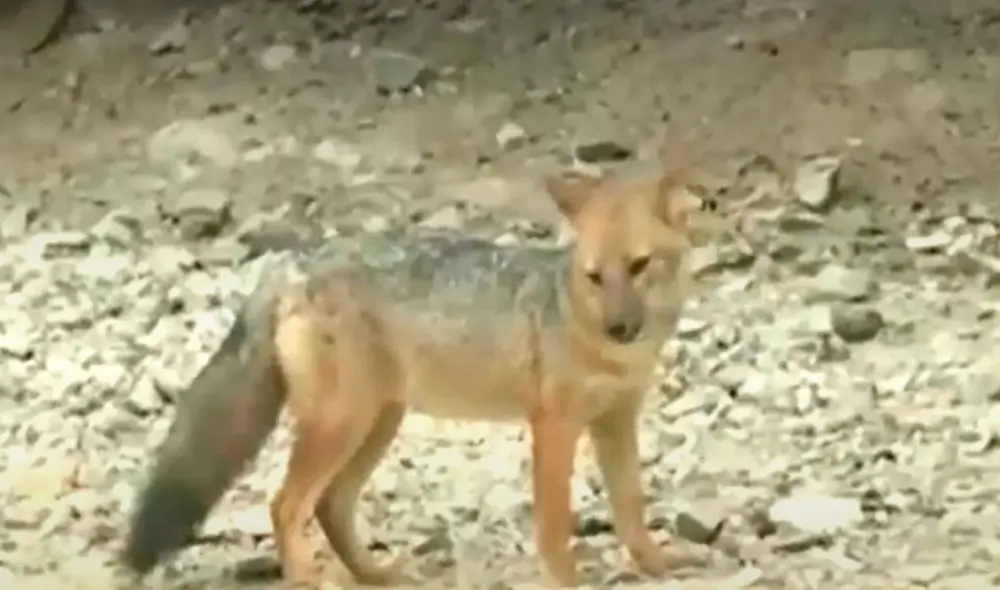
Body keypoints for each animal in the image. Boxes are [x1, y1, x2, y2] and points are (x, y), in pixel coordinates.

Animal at [121, 149, 715, 588]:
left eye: (638, 267)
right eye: (595, 277)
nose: (619, 327)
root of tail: (294, 263)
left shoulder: (616, 421)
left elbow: (631, 508)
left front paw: (658, 565)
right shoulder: (553, 426)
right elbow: (553, 524)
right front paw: (567, 579)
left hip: (378, 423)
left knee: (330, 506)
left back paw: (375, 574)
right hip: (342, 426)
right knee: (285, 505)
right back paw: (309, 577)